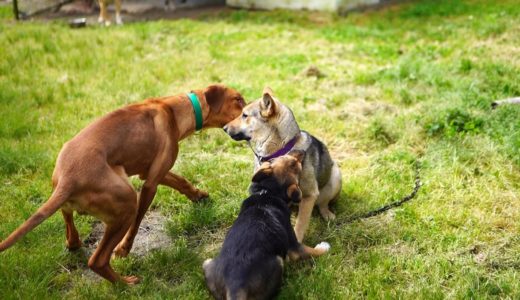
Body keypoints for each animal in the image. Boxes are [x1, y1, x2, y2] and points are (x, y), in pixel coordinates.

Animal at [0, 84, 246, 284]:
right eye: (238, 100)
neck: (175, 111)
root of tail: (68, 180)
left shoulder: (151, 173)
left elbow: (180, 180)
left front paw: (198, 195)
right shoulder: (150, 184)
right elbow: (138, 221)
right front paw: (124, 249)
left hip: (66, 192)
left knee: (68, 219)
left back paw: (74, 243)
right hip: (126, 201)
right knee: (97, 260)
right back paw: (124, 284)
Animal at [203, 152, 330, 300]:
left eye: (280, 156)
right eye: (294, 163)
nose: (302, 152)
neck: (268, 192)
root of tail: (235, 287)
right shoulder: (294, 246)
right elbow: (312, 251)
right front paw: (324, 247)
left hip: (207, 263)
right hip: (278, 261)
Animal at [222, 86, 342, 241]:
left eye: (244, 115)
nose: (224, 128)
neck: (280, 150)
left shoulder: (309, 195)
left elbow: (300, 224)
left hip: (335, 177)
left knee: (323, 203)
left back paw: (327, 214)